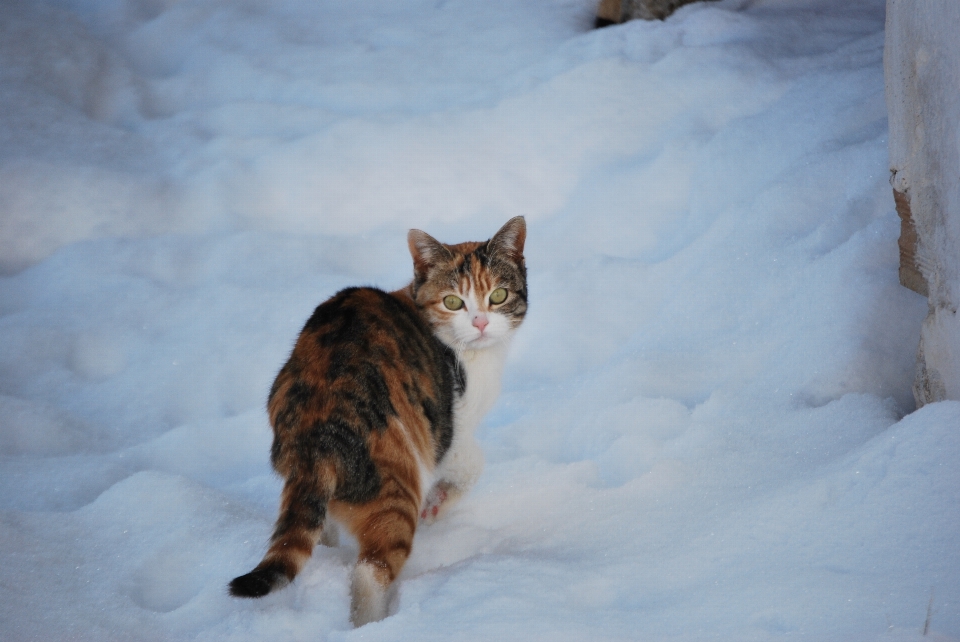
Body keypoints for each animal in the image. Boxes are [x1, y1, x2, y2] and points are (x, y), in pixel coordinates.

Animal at [230, 216, 528, 624]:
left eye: (497, 296)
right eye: (453, 302)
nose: (481, 323)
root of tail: (316, 432)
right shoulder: (449, 428)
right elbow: (472, 463)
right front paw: (437, 504)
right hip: (395, 479)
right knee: (371, 569)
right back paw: (377, 622)